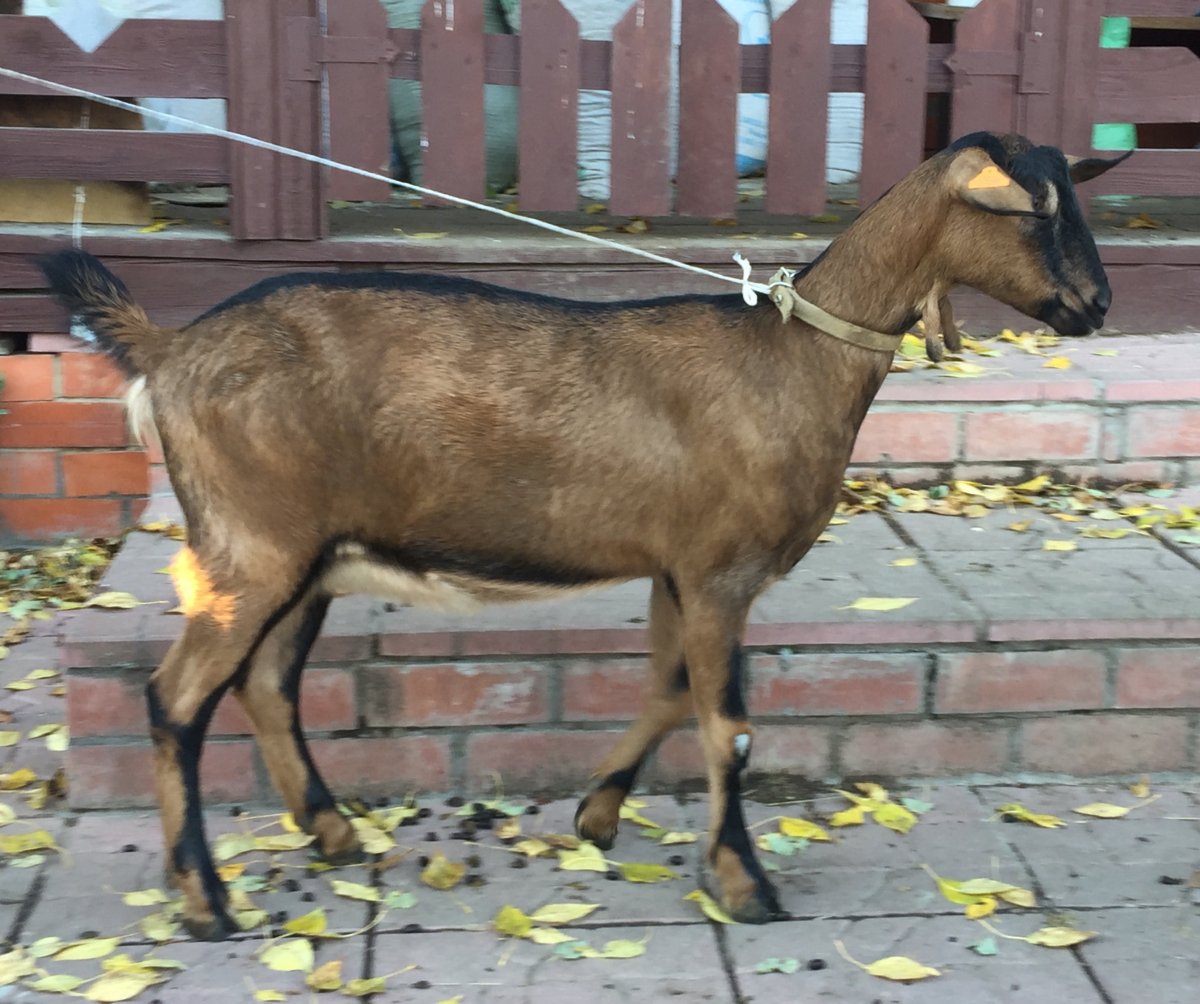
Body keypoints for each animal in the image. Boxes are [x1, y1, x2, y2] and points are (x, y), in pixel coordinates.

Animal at [39, 132, 1127, 939]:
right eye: (1031, 211)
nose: (1095, 305)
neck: (789, 358)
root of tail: (168, 350)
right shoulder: (721, 570)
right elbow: (729, 725)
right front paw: (746, 883)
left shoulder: (677, 568)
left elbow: (668, 692)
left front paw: (597, 814)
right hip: (248, 546)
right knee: (176, 700)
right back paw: (206, 902)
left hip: (305, 554)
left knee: (266, 683)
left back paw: (333, 835)